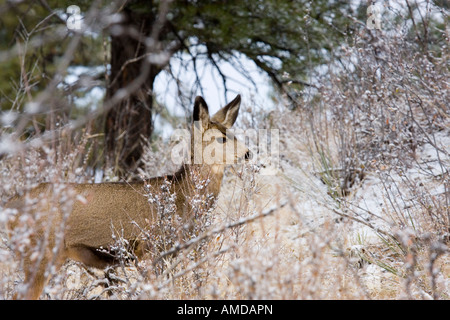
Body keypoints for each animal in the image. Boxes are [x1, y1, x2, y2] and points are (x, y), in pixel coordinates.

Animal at [4, 94, 250, 298]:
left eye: (234, 134)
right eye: (221, 139)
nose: (248, 153)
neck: (182, 197)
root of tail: (10, 205)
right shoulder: (148, 248)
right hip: (39, 252)